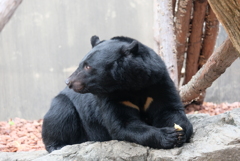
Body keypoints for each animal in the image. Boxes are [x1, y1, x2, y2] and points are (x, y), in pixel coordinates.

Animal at [42, 35, 193, 152]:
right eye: (81, 64)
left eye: (88, 66)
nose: (68, 82)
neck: (128, 86)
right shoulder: (111, 98)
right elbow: (123, 124)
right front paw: (168, 136)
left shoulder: (158, 84)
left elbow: (168, 109)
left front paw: (181, 131)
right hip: (66, 106)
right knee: (60, 116)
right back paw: (57, 146)